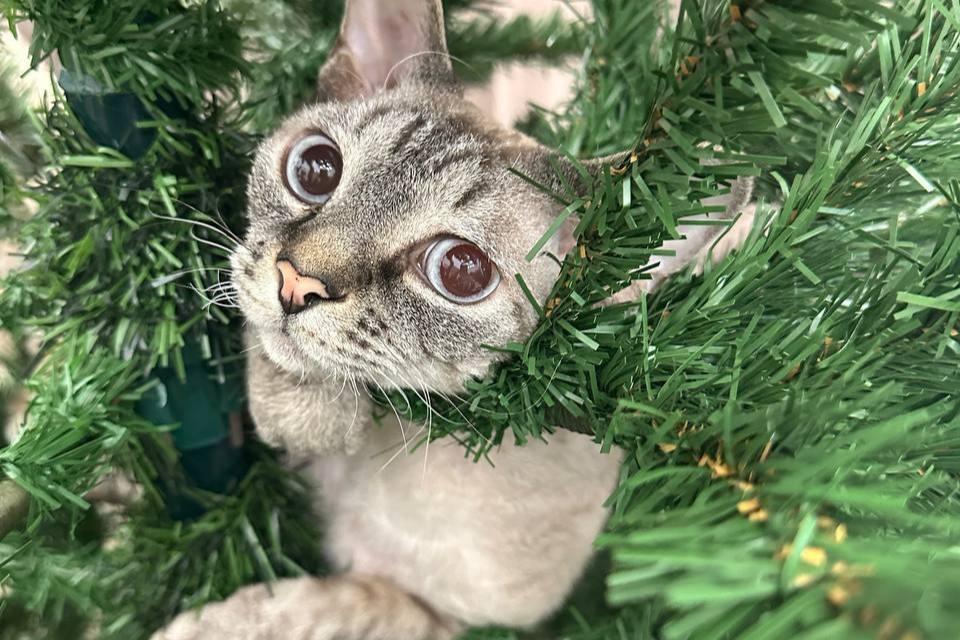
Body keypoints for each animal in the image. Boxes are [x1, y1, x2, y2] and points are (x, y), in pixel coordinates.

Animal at [156, 1, 753, 638]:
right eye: (316, 169)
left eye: (461, 270)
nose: (296, 284)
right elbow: (260, 334)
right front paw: (301, 414)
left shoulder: (463, 618)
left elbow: (338, 606)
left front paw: (209, 624)